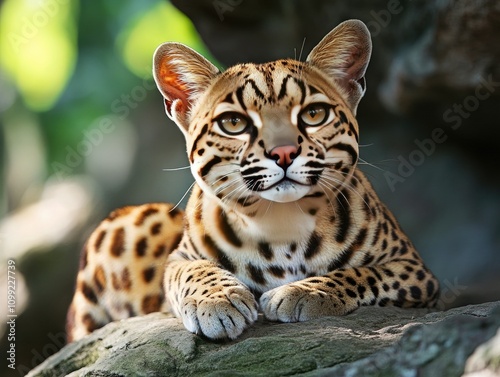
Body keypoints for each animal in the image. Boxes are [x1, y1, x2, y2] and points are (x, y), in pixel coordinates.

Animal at [65, 19, 438, 340]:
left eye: (313, 114)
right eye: (234, 123)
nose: (284, 152)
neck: (283, 224)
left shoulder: (415, 269)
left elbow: (363, 273)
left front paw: (304, 292)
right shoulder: (177, 259)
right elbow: (192, 271)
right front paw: (216, 301)